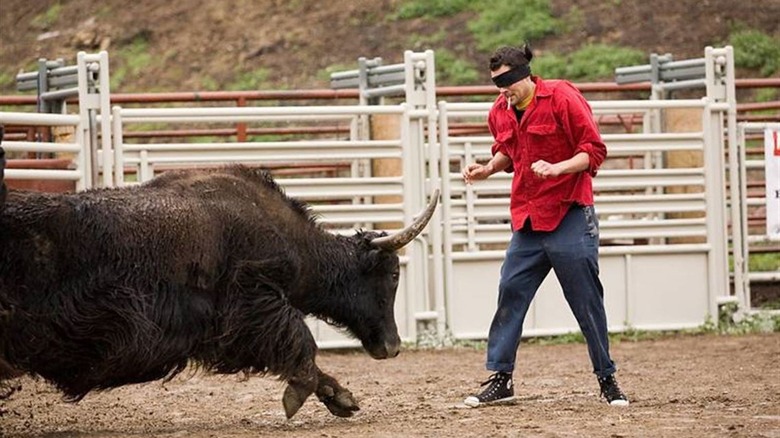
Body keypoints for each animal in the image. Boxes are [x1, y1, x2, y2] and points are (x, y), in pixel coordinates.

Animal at [0, 164, 438, 418]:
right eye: (392, 276)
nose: (392, 346)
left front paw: (342, 399)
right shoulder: (251, 304)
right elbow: (300, 343)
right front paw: (302, 395)